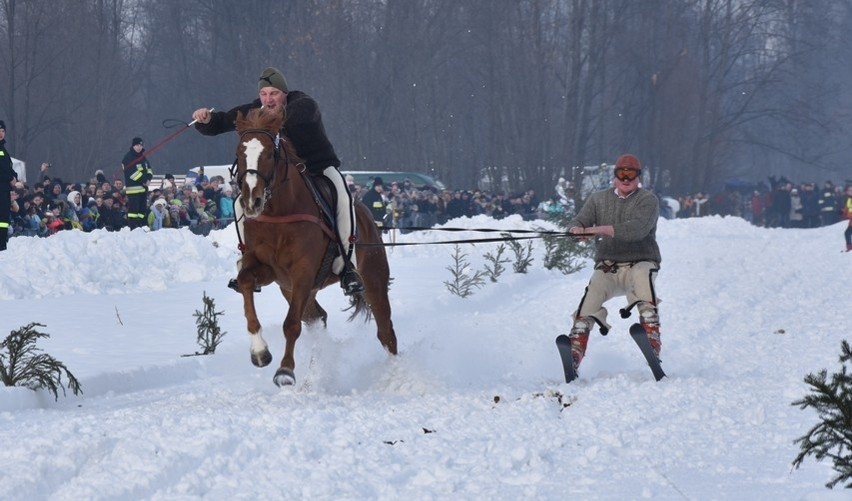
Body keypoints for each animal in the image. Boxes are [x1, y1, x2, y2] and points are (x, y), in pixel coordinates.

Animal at [230, 107, 396, 384]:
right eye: (239, 153)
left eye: (269, 153)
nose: (252, 201)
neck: (279, 212)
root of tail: (367, 215)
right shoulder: (268, 270)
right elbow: (245, 283)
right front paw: (260, 352)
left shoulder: (303, 271)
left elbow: (291, 324)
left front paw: (285, 371)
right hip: (295, 289)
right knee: (318, 318)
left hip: (373, 279)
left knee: (386, 331)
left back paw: (396, 372)